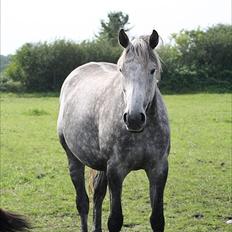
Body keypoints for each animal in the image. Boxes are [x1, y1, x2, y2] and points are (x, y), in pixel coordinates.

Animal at [57, 29, 170, 232]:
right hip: (73, 158)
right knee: (83, 203)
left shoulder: (159, 169)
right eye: (121, 70)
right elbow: (115, 220)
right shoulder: (116, 171)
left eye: (152, 70)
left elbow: (157, 220)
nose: (133, 118)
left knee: (97, 196)